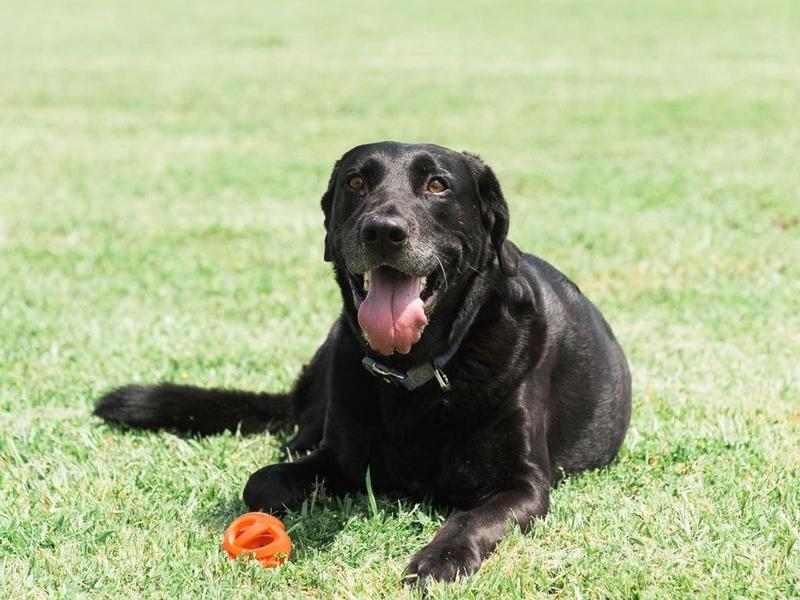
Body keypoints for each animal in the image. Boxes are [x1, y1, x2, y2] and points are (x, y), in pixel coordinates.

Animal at [95, 143, 632, 584]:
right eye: (356, 182)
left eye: (438, 184)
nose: (383, 232)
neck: (414, 376)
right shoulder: (341, 456)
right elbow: (261, 481)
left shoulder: (522, 485)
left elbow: (472, 517)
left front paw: (440, 558)